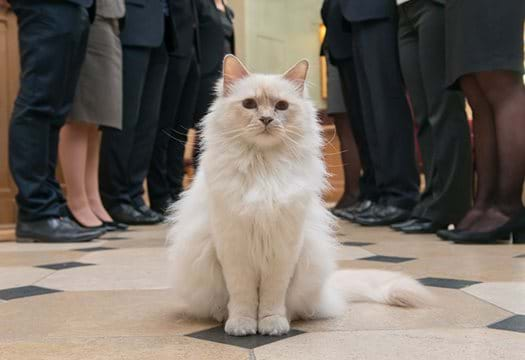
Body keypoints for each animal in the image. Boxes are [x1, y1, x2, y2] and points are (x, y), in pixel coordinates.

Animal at [165, 54, 430, 336]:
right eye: (249, 104)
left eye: (281, 106)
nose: (266, 119)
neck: (264, 168)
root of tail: (328, 289)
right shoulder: (234, 249)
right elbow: (243, 297)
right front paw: (242, 325)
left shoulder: (283, 250)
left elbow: (271, 297)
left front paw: (271, 324)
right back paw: (224, 316)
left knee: (293, 307)